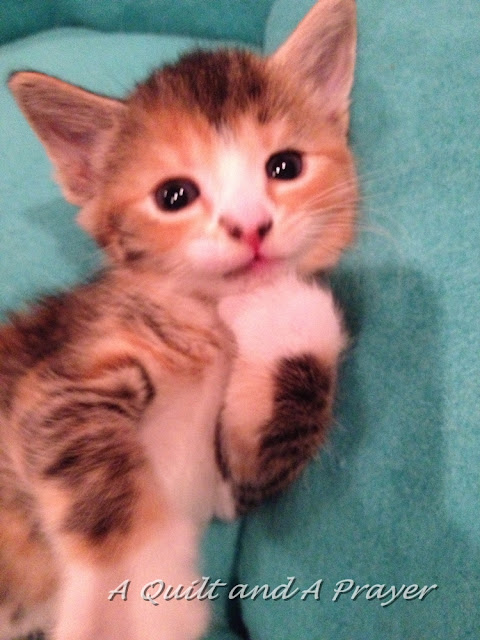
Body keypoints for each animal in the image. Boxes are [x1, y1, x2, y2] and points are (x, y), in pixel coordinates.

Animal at [0, 0, 357, 638]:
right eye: (174, 196)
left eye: (285, 166)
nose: (251, 226)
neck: (201, 320)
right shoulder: (52, 383)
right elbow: (92, 463)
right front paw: (130, 600)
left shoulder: (225, 487)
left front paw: (284, 309)